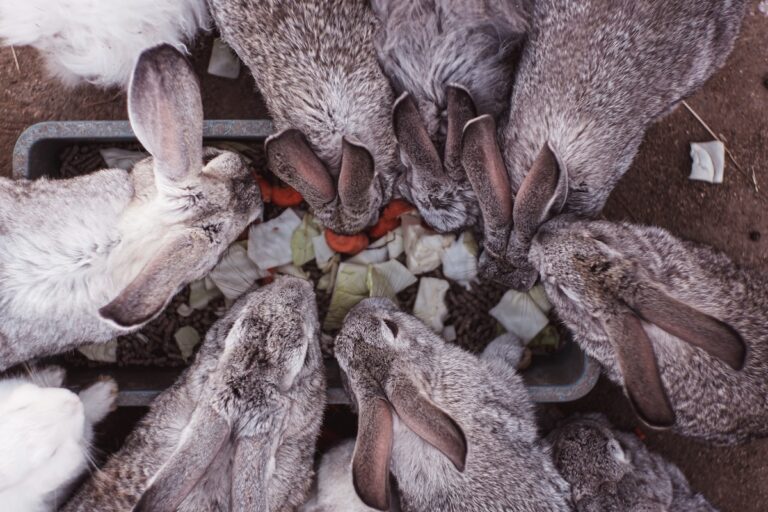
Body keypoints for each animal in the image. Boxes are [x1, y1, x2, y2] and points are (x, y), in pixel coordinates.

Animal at [0, 366, 117, 512]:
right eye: (51, 454)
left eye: (21, 407)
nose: (74, 402)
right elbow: (88, 416)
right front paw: (104, 394)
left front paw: (54, 373)